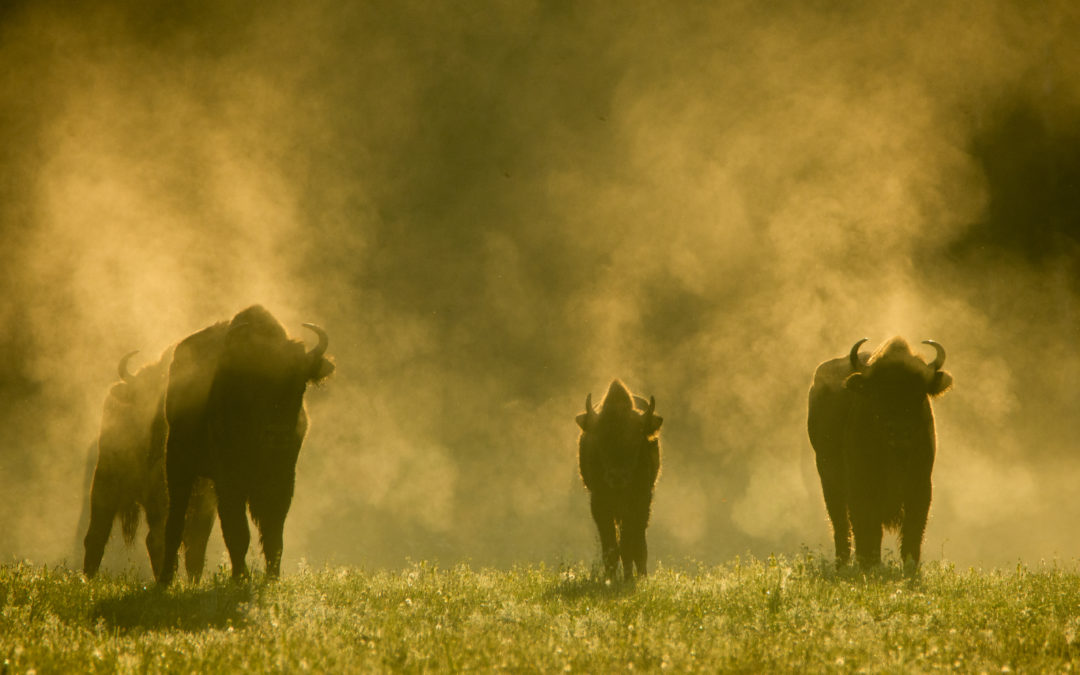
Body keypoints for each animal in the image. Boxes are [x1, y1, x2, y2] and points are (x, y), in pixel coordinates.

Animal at [157, 304, 330, 583]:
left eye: (300, 383)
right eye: (255, 385)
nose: (278, 435)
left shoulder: (282, 480)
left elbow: (273, 533)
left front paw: (272, 577)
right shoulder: (229, 481)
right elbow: (237, 532)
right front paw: (241, 577)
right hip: (177, 464)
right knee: (175, 521)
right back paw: (164, 580)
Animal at [578, 380, 660, 578]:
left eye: (636, 439)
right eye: (600, 438)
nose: (617, 476)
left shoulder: (639, 502)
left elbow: (628, 546)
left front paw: (629, 578)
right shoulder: (600, 504)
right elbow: (610, 547)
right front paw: (611, 578)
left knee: (639, 543)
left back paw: (640, 575)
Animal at [812, 339, 954, 565]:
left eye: (919, 393)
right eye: (879, 393)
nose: (899, 432)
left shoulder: (921, 486)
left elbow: (913, 532)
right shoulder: (861, 486)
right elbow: (866, 530)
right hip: (829, 482)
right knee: (841, 525)